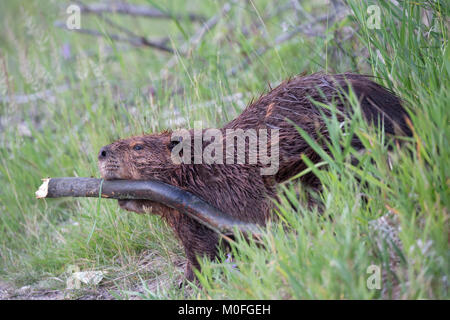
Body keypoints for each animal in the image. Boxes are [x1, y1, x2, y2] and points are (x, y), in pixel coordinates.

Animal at [97, 73, 412, 282]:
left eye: (137, 146)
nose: (101, 152)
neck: (203, 166)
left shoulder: (205, 203)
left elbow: (201, 250)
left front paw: (189, 282)